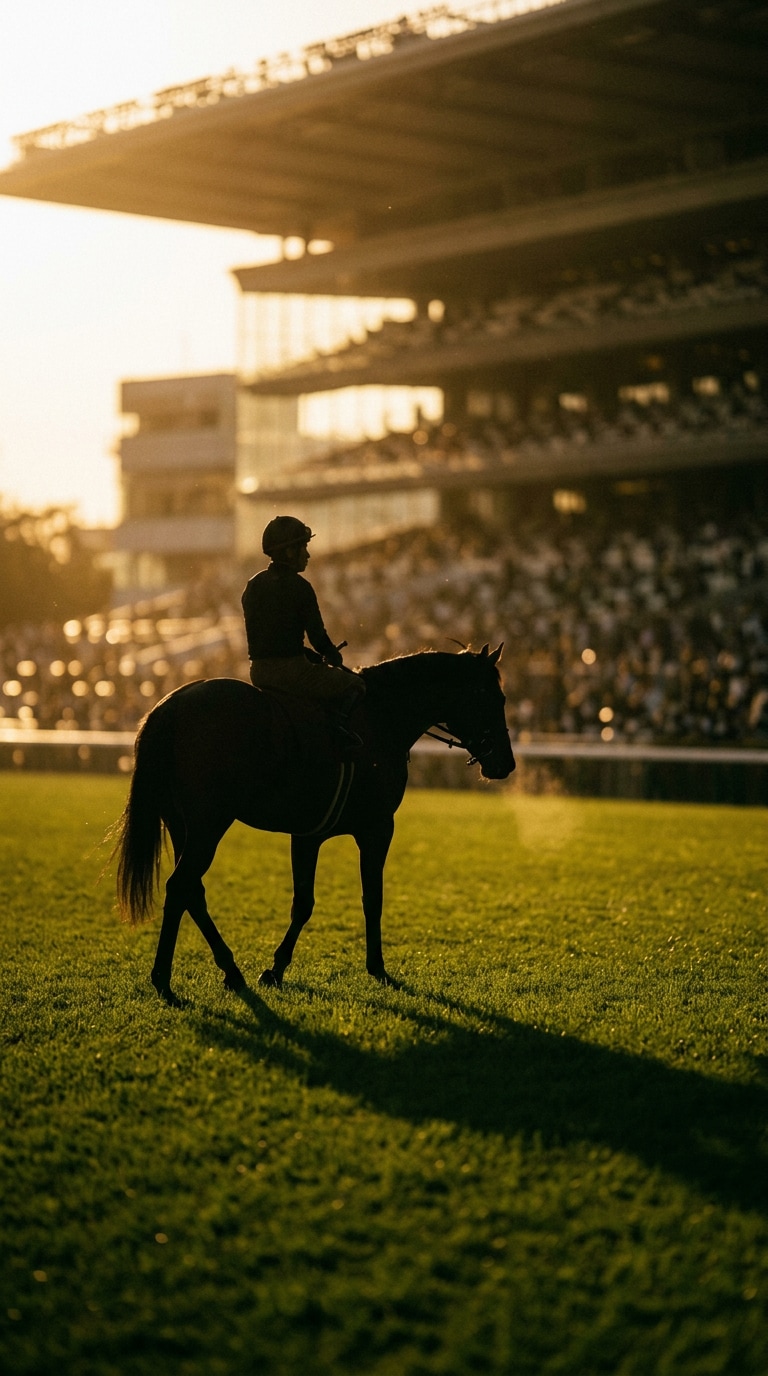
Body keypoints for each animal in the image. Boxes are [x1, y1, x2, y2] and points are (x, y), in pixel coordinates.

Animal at [113, 645, 515, 1004]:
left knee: (192, 891)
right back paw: (163, 980)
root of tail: (172, 704)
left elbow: (303, 902)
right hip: (208, 825)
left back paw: (230, 970)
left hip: (182, 825)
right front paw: (377, 968)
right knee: (180, 886)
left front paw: (275, 970)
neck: (380, 717)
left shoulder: (308, 835)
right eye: (493, 697)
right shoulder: (377, 829)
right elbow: (372, 898)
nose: (506, 763)